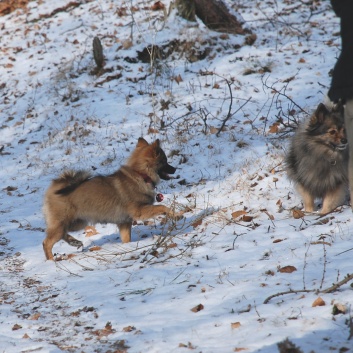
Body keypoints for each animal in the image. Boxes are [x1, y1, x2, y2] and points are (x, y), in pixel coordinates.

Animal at [43, 138, 177, 258]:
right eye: (165, 161)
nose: (175, 168)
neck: (140, 175)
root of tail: (58, 184)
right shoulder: (139, 211)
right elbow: (162, 207)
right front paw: (175, 214)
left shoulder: (124, 222)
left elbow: (126, 239)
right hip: (63, 223)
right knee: (47, 242)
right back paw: (51, 261)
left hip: (77, 222)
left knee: (61, 234)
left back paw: (73, 241)